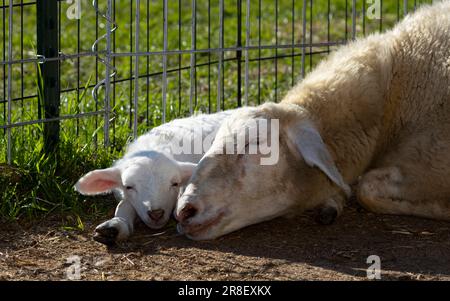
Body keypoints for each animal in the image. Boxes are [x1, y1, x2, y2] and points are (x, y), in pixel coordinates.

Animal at [75, 108, 248, 244]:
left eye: (175, 184)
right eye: (128, 186)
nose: (156, 214)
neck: (156, 146)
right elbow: (124, 205)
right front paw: (115, 226)